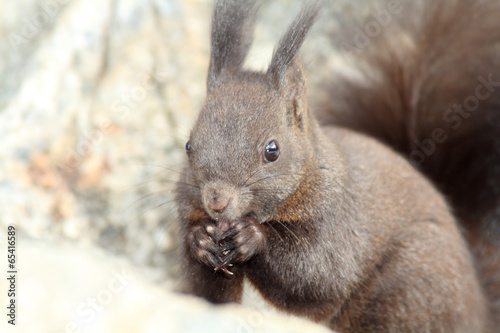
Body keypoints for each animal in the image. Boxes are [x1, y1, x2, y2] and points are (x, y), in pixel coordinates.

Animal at [175, 1, 500, 330]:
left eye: (272, 150)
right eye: (189, 145)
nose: (217, 201)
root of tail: (480, 307)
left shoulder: (338, 222)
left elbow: (319, 274)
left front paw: (252, 237)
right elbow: (207, 293)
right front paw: (200, 240)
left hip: (410, 289)